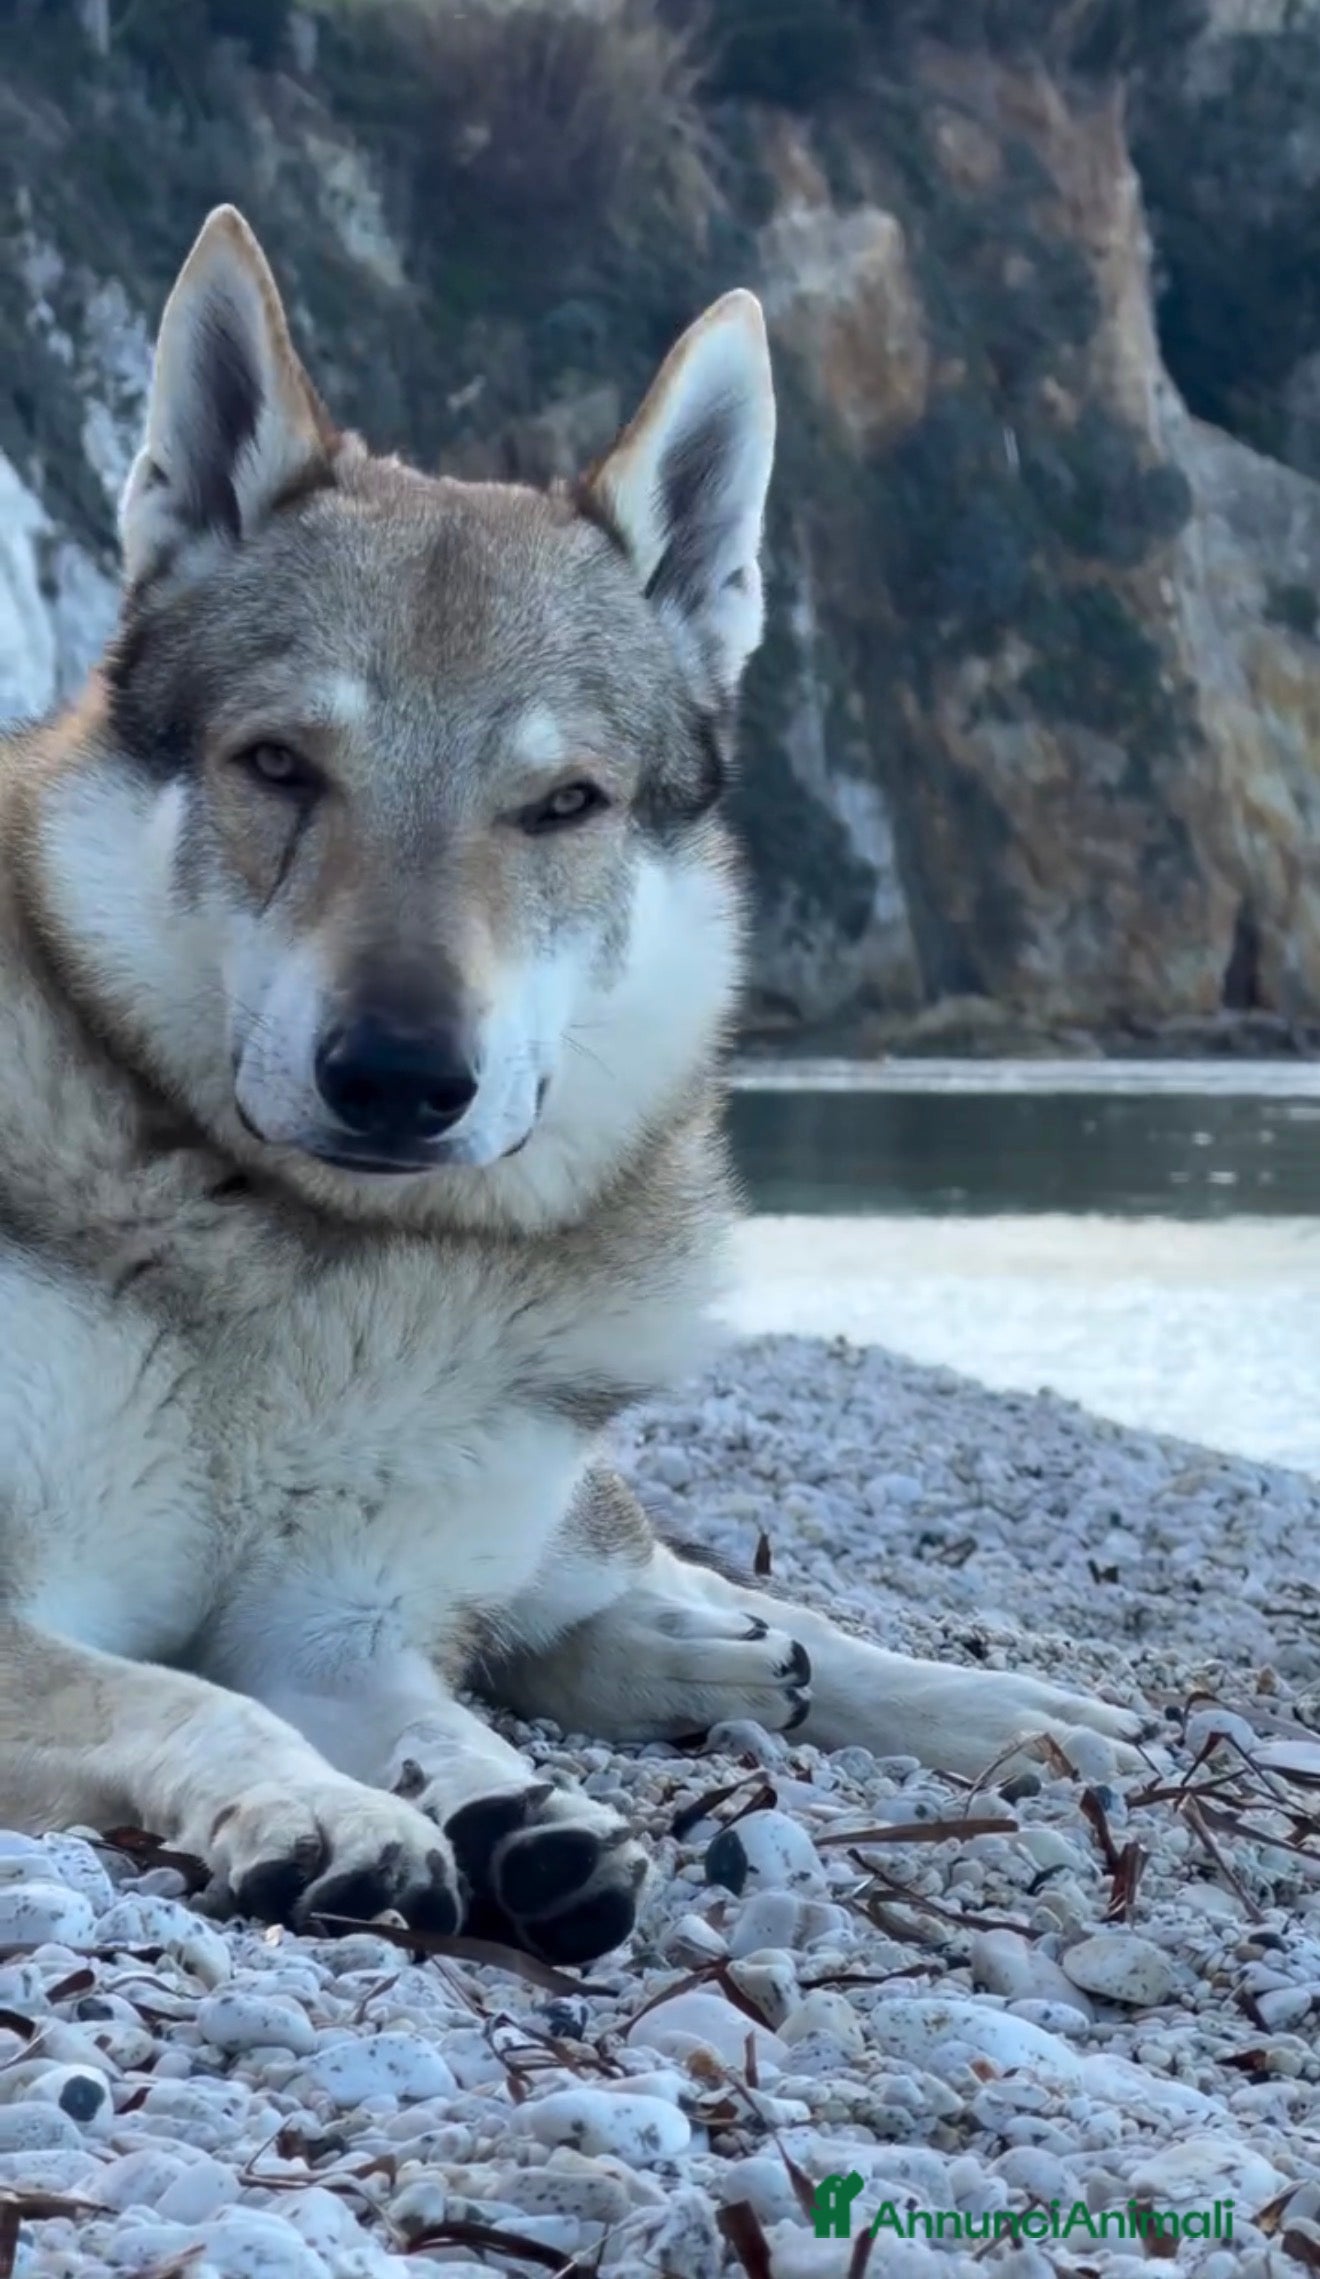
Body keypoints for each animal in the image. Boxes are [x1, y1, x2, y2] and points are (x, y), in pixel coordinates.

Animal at [0, 208, 1140, 1964]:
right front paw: (348, 1815)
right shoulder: (134, 1627)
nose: (399, 1076)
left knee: (708, 1599)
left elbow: (437, 1715)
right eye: (278, 766)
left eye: (565, 804)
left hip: (569, 1512)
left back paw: (1010, 1713)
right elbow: (206, 1702)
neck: (316, 1274)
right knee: (588, 1631)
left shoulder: (339, 1620)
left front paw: (499, 1809)